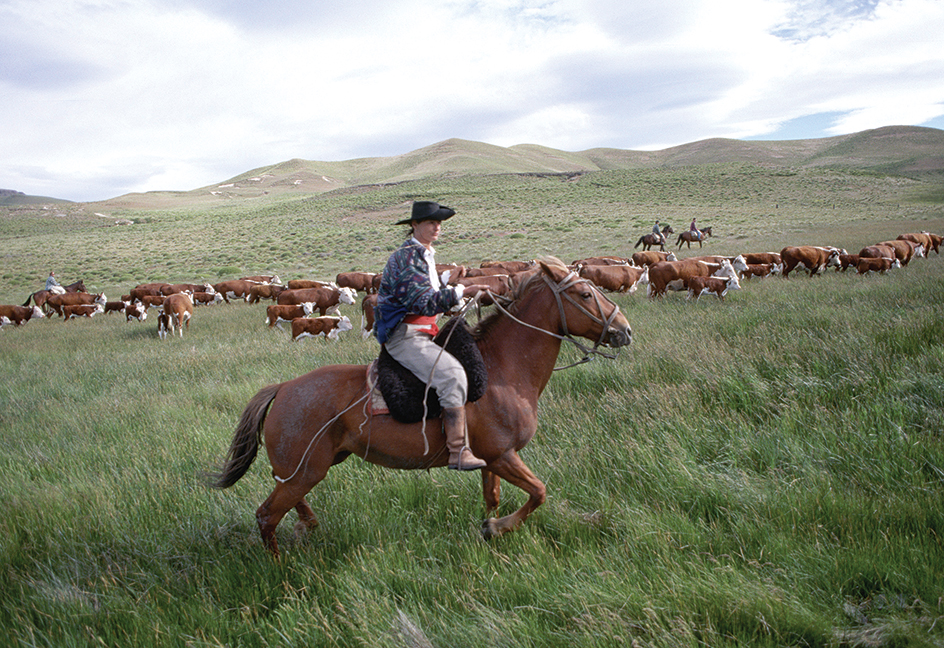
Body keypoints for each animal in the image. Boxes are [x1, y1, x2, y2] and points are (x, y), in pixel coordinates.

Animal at [210, 258, 632, 556]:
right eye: (585, 295)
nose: (624, 330)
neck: (501, 371)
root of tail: (282, 389)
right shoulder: (504, 455)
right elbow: (539, 492)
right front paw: (496, 528)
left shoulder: (492, 459)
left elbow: (493, 498)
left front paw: (490, 527)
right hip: (306, 471)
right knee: (267, 515)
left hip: (307, 468)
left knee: (283, 498)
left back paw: (306, 525)